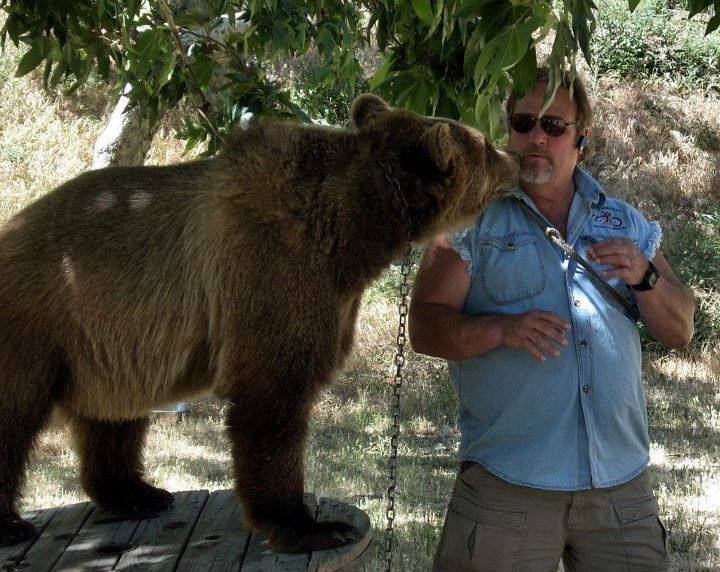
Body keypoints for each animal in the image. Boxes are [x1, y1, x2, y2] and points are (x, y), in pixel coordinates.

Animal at [0, 93, 519, 552]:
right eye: (485, 146)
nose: (514, 157)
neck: (354, 232)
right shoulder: (272, 272)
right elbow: (273, 397)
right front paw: (308, 525)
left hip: (105, 338)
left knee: (113, 414)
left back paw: (137, 493)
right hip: (39, 318)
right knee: (15, 412)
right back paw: (14, 522)